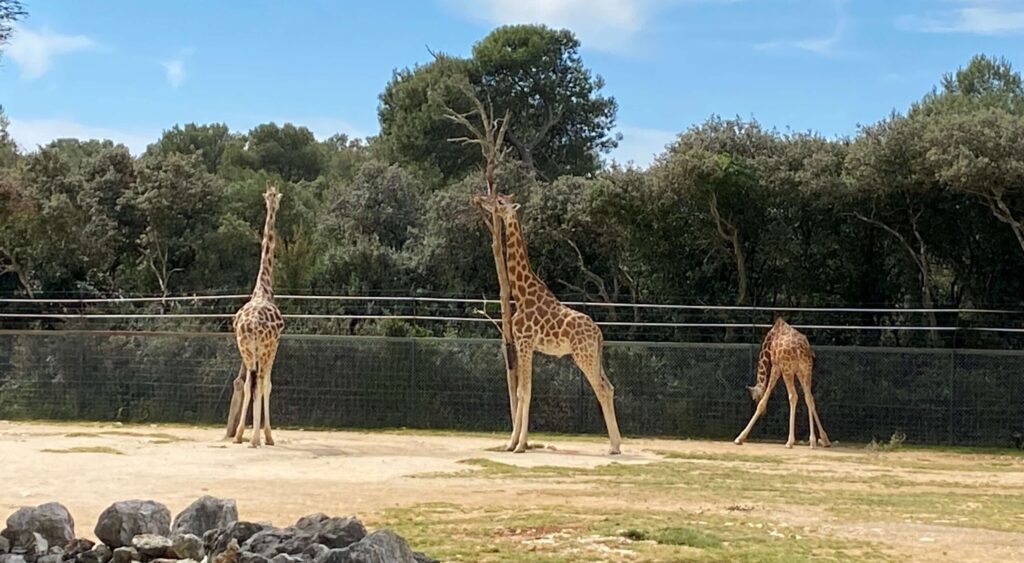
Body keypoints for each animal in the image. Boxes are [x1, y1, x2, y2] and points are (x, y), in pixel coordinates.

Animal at [473, 194, 622, 454]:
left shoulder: (524, 342)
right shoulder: (527, 346)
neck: (521, 294)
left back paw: (613, 447)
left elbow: (523, 391)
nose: (480, 199)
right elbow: (524, 390)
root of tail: (598, 333)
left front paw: (517, 446)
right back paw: (617, 444)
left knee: (602, 389)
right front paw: (513, 444)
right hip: (595, 356)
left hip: (583, 355)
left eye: (500, 202)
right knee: (610, 386)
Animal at [733, 317, 827, 450]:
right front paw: (824, 439)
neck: (769, 341)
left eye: (755, 399)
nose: (765, 414)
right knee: (809, 397)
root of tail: (801, 349)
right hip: (807, 370)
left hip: (787, 370)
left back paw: (790, 442)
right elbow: (809, 399)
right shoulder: (798, 371)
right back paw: (812, 441)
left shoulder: (776, 366)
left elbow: (763, 401)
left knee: (793, 397)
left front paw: (739, 438)